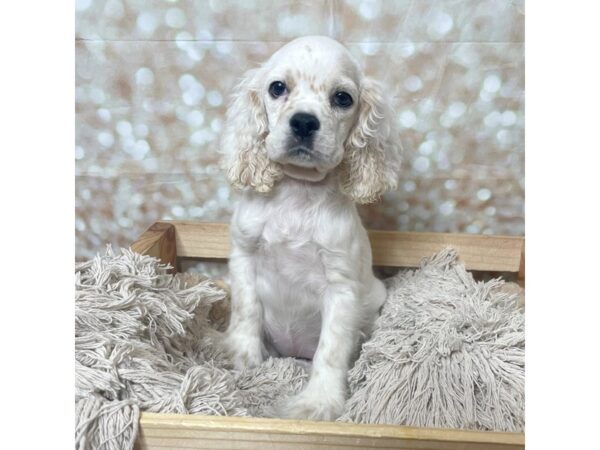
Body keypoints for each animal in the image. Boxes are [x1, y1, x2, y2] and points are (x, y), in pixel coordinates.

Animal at [220, 37, 404, 420]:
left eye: (343, 98)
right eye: (277, 88)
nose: (304, 122)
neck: (298, 191)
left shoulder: (341, 286)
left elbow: (330, 349)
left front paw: (319, 401)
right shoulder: (243, 256)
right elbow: (246, 310)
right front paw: (243, 357)